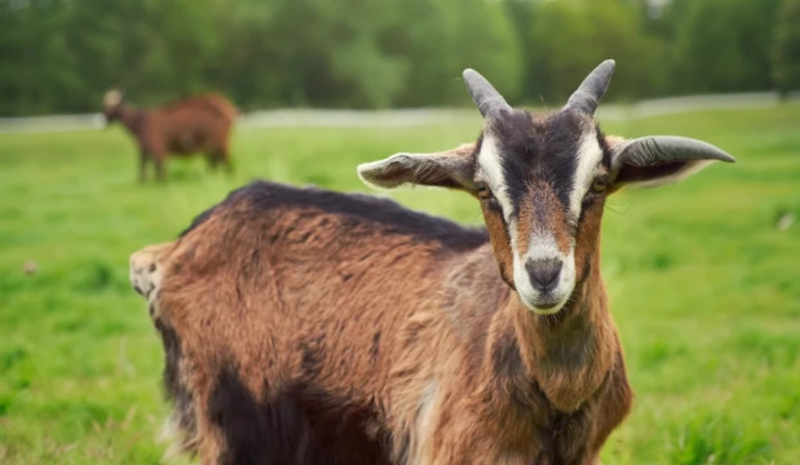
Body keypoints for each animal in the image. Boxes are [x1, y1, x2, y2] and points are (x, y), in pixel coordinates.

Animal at [103, 90, 237, 182]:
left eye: (113, 106)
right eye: (105, 105)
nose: (105, 119)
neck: (141, 123)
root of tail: (228, 107)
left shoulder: (157, 148)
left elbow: (159, 172)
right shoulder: (145, 149)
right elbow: (145, 169)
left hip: (221, 141)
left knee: (226, 162)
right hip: (213, 145)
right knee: (216, 162)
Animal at [129, 60, 734, 464]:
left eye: (600, 183)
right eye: (485, 190)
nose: (542, 274)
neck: (554, 399)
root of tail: (175, 251)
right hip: (237, 424)